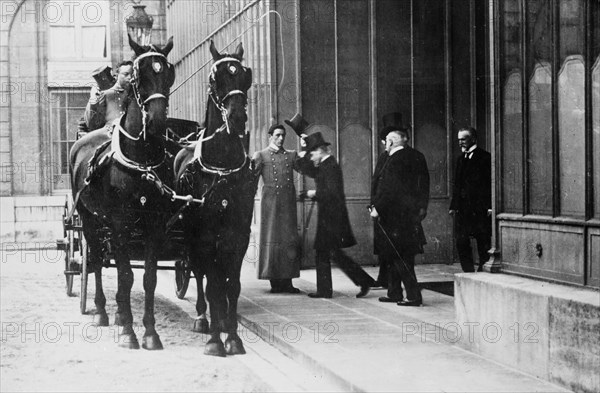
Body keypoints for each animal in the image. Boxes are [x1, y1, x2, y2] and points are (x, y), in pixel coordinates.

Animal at [70, 36, 175, 350]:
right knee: (95, 260)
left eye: (168, 72)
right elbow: (126, 274)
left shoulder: (154, 223)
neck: (141, 160)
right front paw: (129, 332)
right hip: (89, 219)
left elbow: (148, 277)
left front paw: (150, 333)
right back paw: (103, 312)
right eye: (139, 76)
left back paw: (117, 312)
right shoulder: (118, 221)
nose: (156, 122)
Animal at [175, 42, 256, 356]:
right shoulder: (205, 236)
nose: (237, 118)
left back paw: (219, 321)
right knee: (199, 274)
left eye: (245, 75)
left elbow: (231, 285)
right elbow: (210, 285)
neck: (221, 169)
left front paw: (232, 337)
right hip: (192, 237)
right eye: (214, 78)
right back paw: (203, 318)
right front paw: (214, 342)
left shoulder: (238, 235)